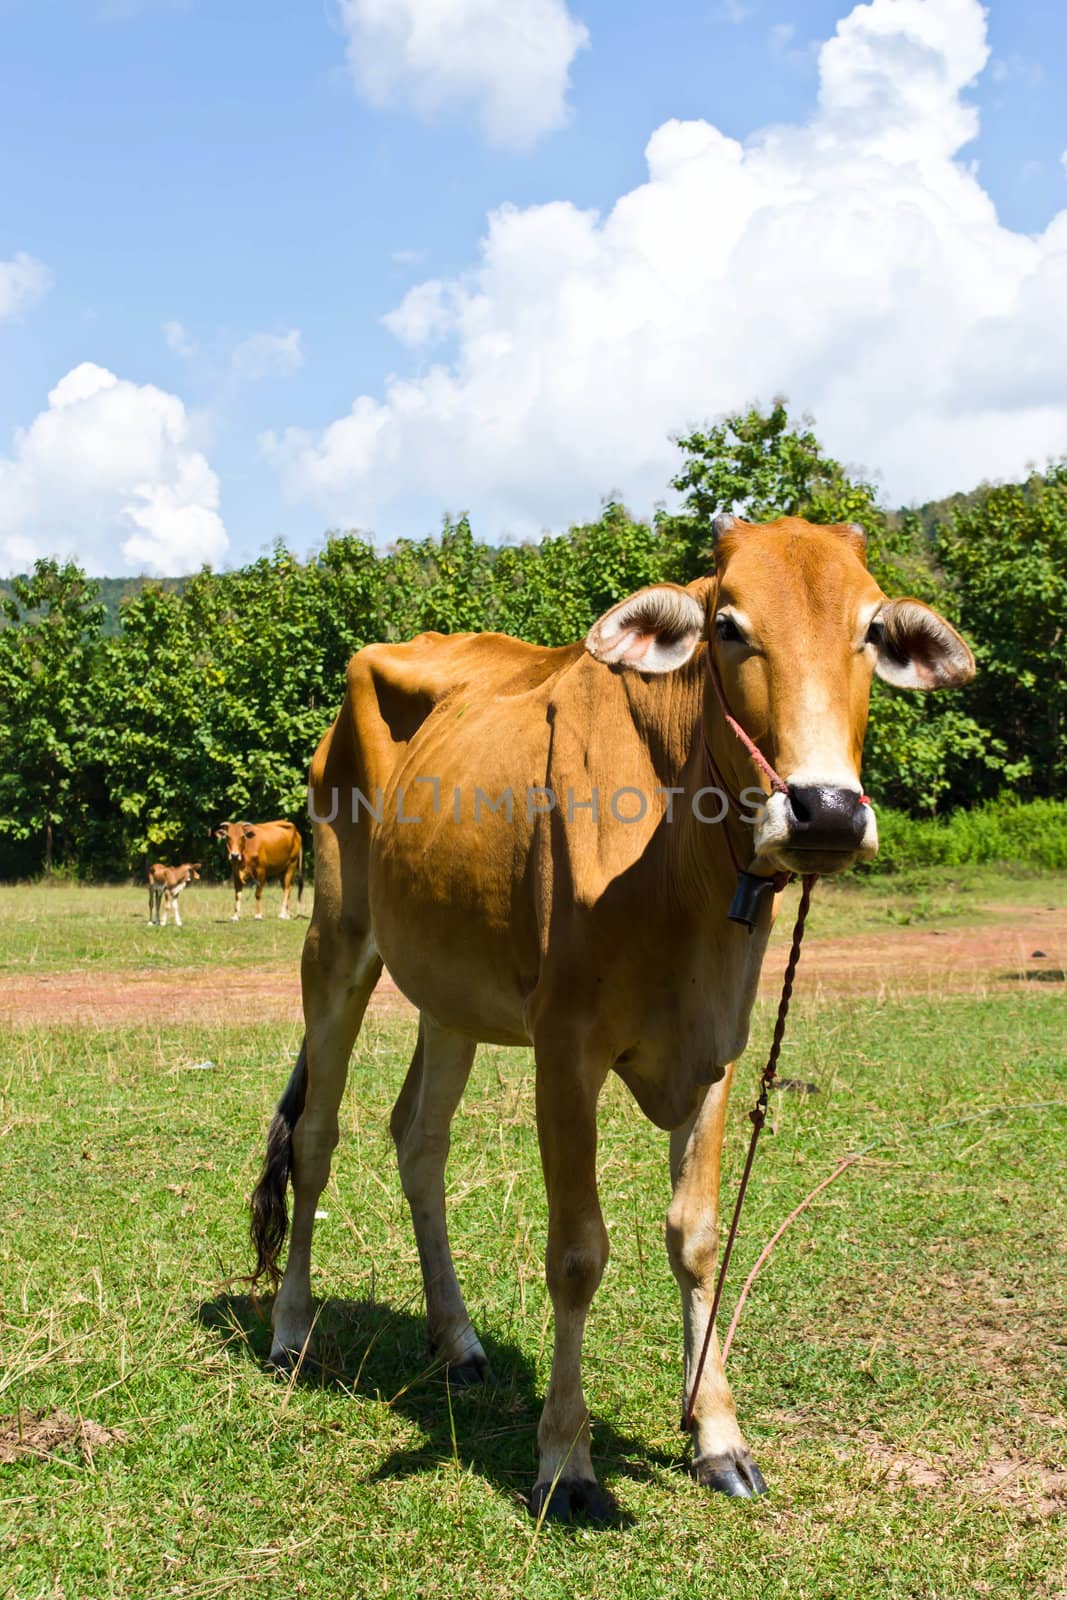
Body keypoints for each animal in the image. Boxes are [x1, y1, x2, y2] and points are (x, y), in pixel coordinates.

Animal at [247, 518, 979, 1516]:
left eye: (869, 630)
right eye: (726, 627)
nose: (824, 811)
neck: (683, 866)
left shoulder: (716, 1052)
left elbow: (695, 1238)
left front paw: (717, 1436)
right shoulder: (565, 1051)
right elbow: (578, 1253)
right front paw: (565, 1458)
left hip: (450, 992)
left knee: (419, 1137)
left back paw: (457, 1340)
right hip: (336, 940)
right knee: (318, 1137)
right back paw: (291, 1333)